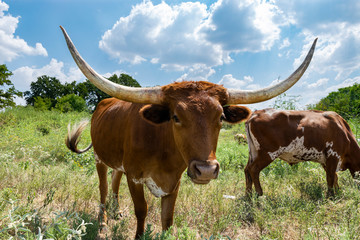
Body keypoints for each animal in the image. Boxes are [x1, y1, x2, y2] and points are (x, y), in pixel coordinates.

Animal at [62, 24, 318, 238]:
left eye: (220, 117)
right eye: (176, 117)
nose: (206, 170)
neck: (162, 148)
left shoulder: (173, 183)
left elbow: (167, 219)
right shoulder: (135, 177)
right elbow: (141, 210)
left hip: (118, 161)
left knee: (115, 180)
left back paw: (116, 213)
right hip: (99, 158)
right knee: (104, 188)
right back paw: (103, 222)